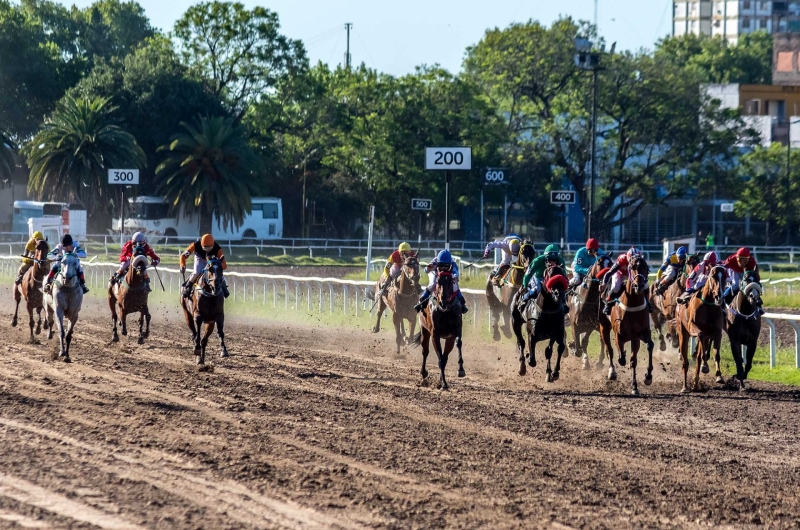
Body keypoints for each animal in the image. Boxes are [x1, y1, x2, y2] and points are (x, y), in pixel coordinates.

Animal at [600, 254, 656, 394]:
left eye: (646, 269)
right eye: (632, 267)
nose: (638, 286)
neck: (632, 304)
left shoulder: (640, 334)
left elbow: (646, 349)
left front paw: (646, 378)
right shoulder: (618, 334)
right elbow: (621, 358)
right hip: (603, 327)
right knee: (610, 349)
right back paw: (612, 372)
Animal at [676, 264, 724, 392]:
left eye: (725, 277)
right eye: (713, 276)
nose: (719, 296)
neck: (708, 306)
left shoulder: (717, 331)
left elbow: (716, 353)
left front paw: (719, 376)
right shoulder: (693, 326)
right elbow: (701, 335)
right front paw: (705, 366)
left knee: (697, 356)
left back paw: (696, 383)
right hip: (682, 332)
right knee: (685, 361)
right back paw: (685, 387)